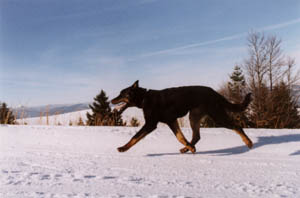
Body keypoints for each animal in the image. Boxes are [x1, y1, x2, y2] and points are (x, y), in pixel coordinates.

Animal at [111, 80, 252, 153]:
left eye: (122, 94)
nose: (111, 100)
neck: (144, 98)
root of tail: (215, 93)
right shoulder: (171, 121)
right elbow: (180, 137)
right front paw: (190, 147)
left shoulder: (151, 124)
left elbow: (135, 137)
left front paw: (123, 148)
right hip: (194, 117)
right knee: (196, 136)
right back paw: (186, 149)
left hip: (217, 116)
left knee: (237, 126)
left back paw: (248, 142)